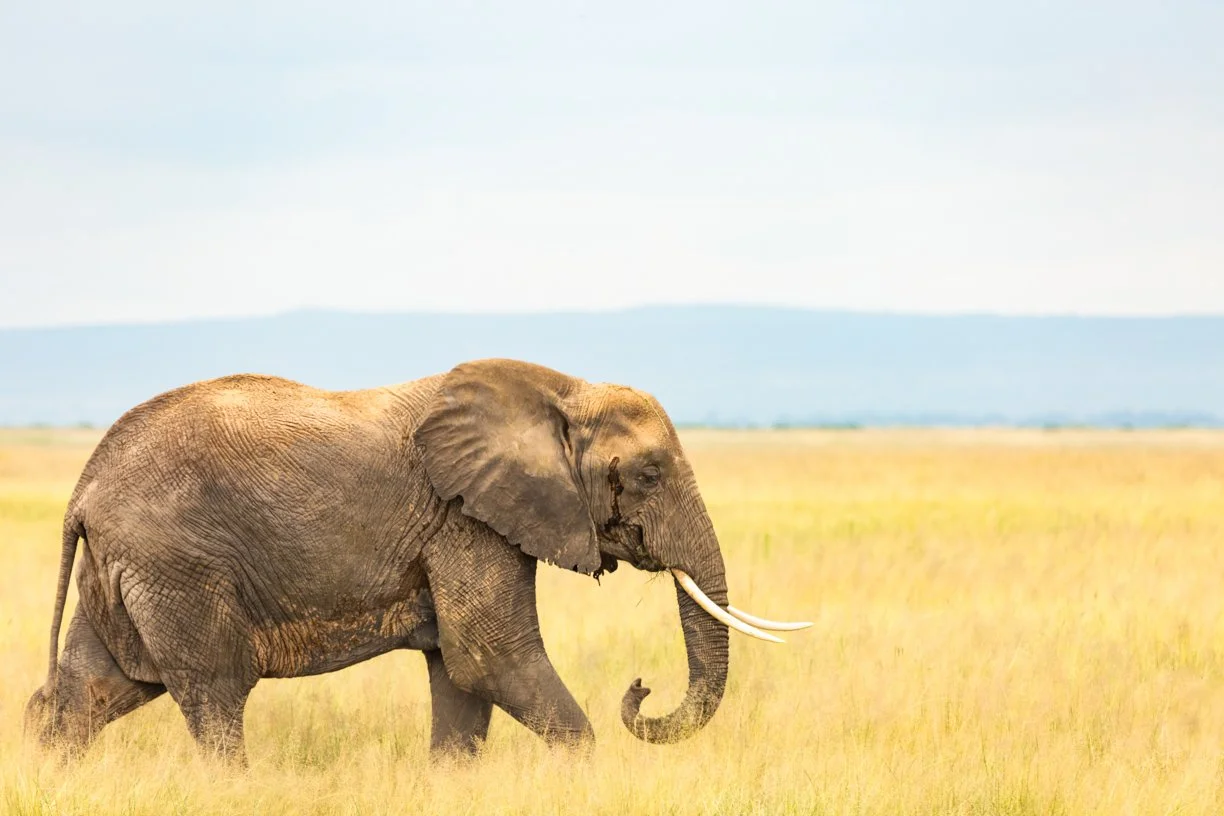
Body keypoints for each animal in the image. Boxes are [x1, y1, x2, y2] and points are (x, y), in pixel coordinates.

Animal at [25, 358, 808, 764]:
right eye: (648, 473)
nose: (641, 686)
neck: (560, 390)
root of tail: (84, 489)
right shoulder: (464, 517)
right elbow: (490, 657)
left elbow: (460, 678)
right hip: (178, 567)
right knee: (214, 696)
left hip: (130, 571)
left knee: (93, 689)